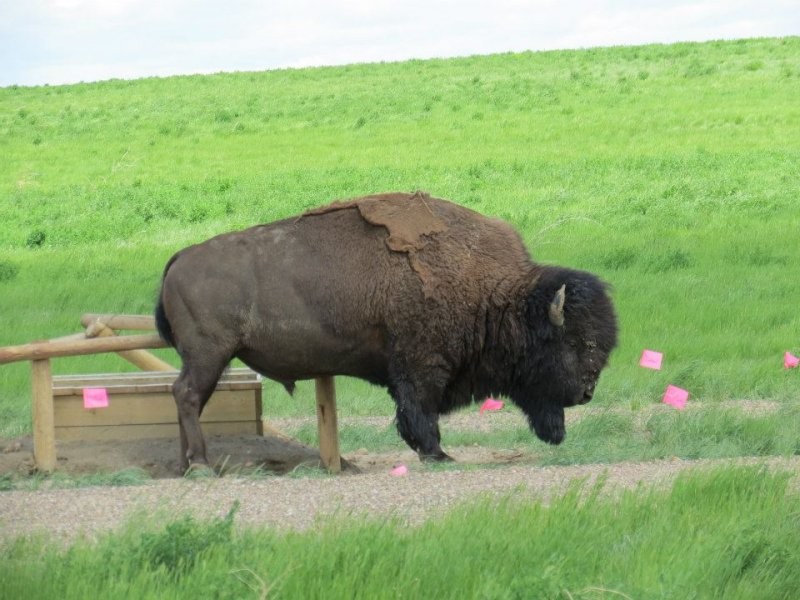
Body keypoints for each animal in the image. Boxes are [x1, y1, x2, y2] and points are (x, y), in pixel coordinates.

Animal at [156, 190, 620, 472]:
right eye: (574, 342)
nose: (586, 393)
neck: (498, 295)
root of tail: (179, 257)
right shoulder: (421, 366)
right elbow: (419, 411)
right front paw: (438, 454)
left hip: (206, 358)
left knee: (183, 397)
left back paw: (187, 464)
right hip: (209, 354)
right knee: (188, 395)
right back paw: (200, 463)